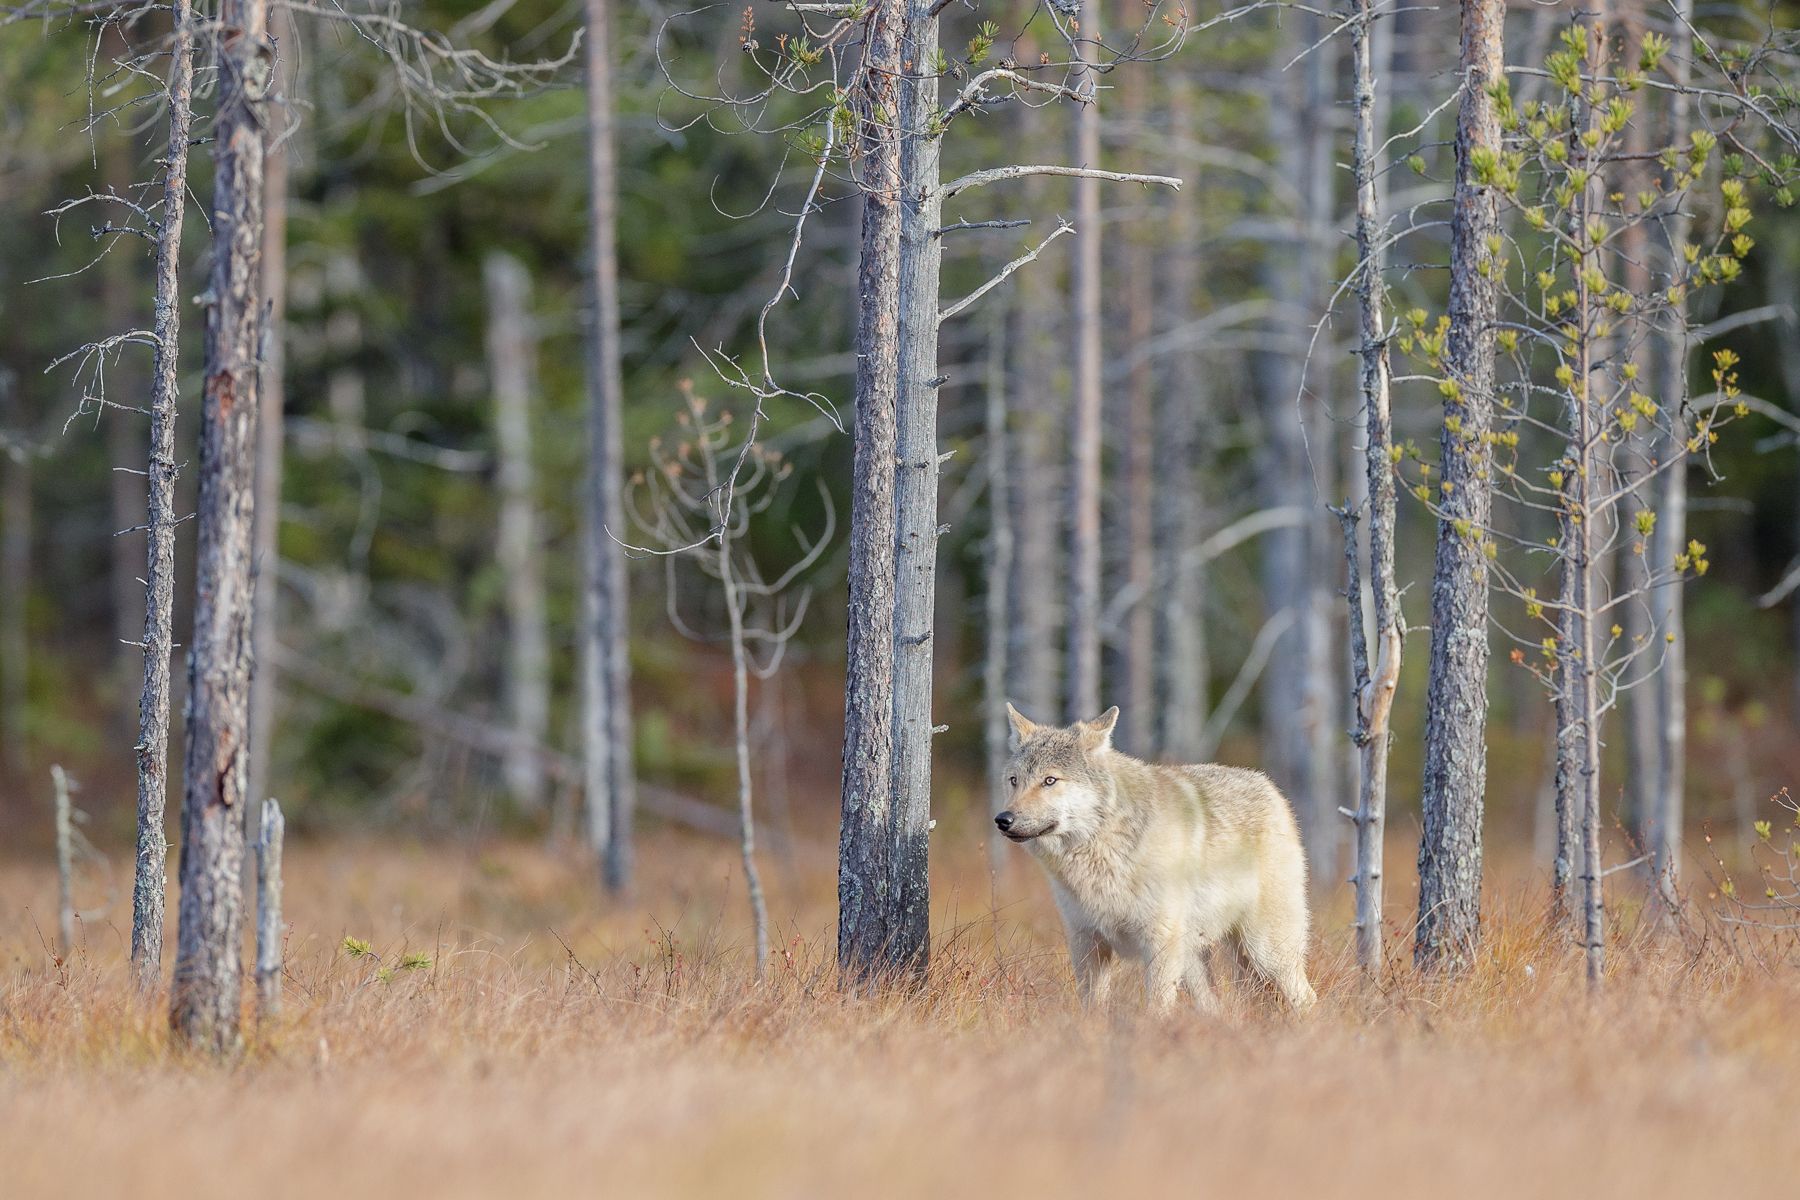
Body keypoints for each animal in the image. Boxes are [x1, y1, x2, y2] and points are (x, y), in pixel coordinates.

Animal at [997, 703, 1316, 1014]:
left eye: (1050, 780)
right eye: (1014, 781)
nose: (1003, 819)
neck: (1102, 850)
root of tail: (1269, 787)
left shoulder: (1158, 942)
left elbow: (1156, 1011)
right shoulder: (1086, 941)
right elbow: (1092, 1009)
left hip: (1265, 952)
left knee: (1308, 999)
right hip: (1198, 964)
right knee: (1216, 1007)